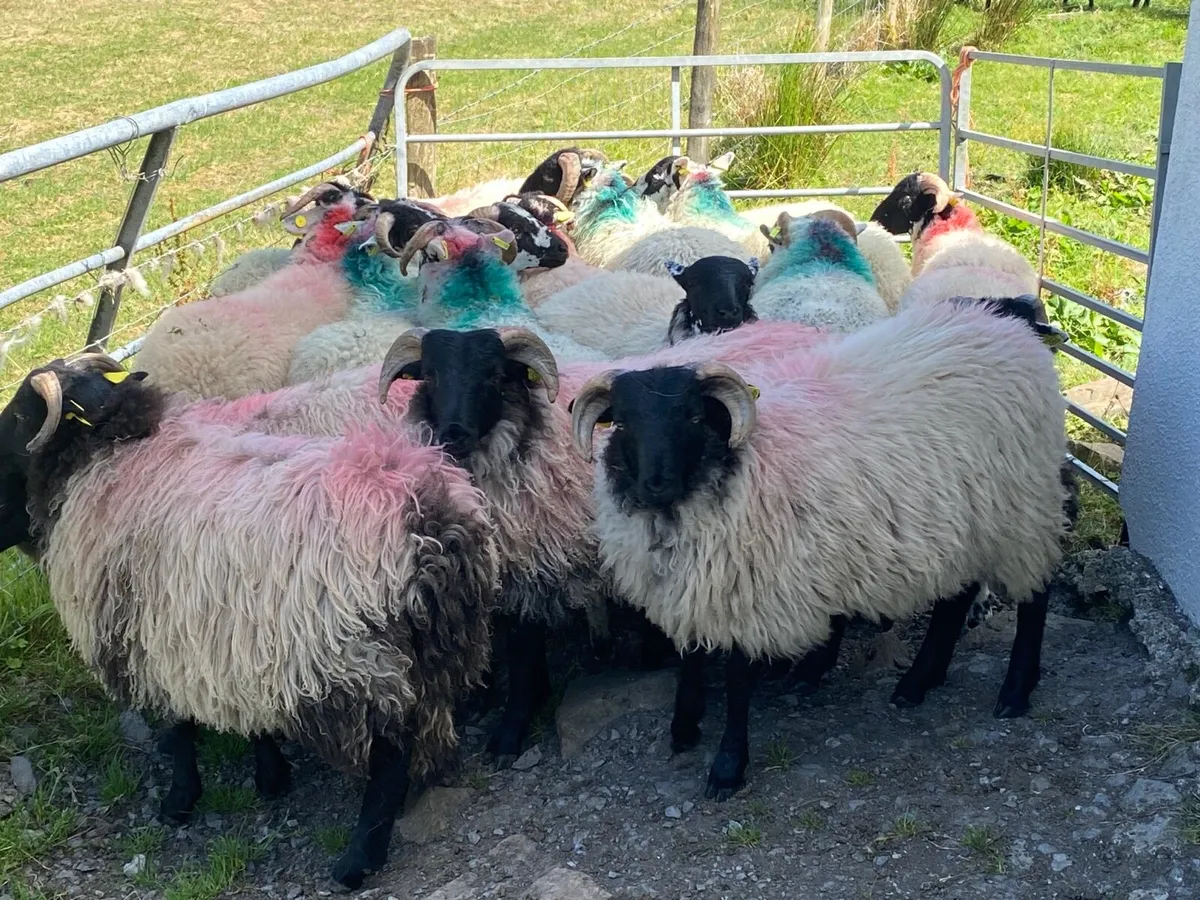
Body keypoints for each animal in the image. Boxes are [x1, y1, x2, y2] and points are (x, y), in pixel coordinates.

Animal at [0, 354, 499, 889]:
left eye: (19, 416)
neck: (107, 457)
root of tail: (425, 519)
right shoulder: (233, 638)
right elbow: (249, 717)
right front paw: (270, 777)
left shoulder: (159, 637)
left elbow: (181, 728)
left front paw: (179, 801)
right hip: (439, 645)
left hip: (361, 658)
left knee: (389, 754)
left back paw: (357, 860)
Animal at [569, 296, 1070, 799]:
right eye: (623, 422)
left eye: (693, 416)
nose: (655, 484)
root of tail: (1004, 323)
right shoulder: (693, 585)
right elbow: (689, 659)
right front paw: (684, 726)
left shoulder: (752, 591)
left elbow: (736, 682)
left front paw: (728, 767)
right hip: (963, 520)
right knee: (956, 598)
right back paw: (917, 682)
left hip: (1023, 506)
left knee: (1036, 596)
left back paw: (1015, 691)